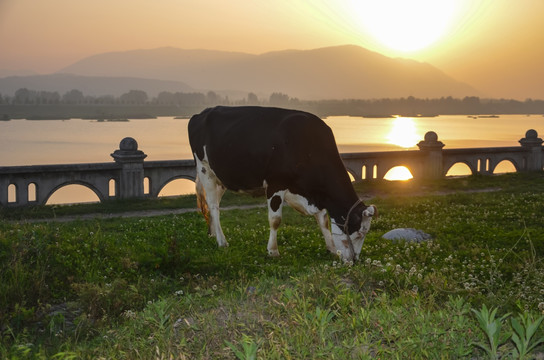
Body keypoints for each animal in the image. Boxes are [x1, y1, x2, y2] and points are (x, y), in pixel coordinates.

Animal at [187, 105, 374, 260]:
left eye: (365, 234)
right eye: (358, 234)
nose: (353, 261)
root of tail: (201, 114)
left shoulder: (308, 193)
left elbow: (323, 219)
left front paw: (331, 249)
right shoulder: (276, 184)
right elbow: (275, 219)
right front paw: (273, 251)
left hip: (221, 178)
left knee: (213, 204)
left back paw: (212, 233)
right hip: (205, 170)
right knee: (213, 206)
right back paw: (222, 241)